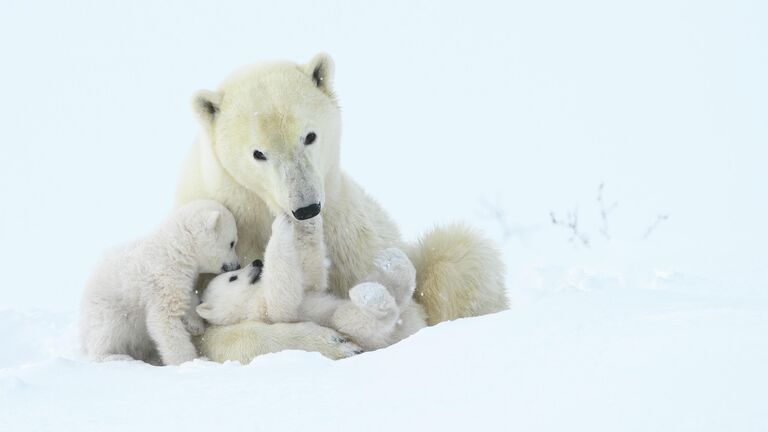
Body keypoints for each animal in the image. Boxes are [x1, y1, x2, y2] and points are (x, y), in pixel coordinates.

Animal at [79, 199, 240, 364]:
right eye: (232, 243)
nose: (237, 265)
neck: (176, 249)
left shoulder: (179, 279)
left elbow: (187, 297)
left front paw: (195, 325)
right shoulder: (163, 279)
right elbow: (165, 320)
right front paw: (189, 361)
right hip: (108, 308)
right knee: (108, 332)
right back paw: (115, 356)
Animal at [196, 214, 426, 352]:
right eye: (232, 277)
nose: (257, 262)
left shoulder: (306, 288)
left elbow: (311, 276)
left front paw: (307, 222)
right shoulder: (261, 310)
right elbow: (282, 297)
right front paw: (280, 225)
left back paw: (392, 260)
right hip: (359, 333)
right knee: (352, 319)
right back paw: (370, 295)